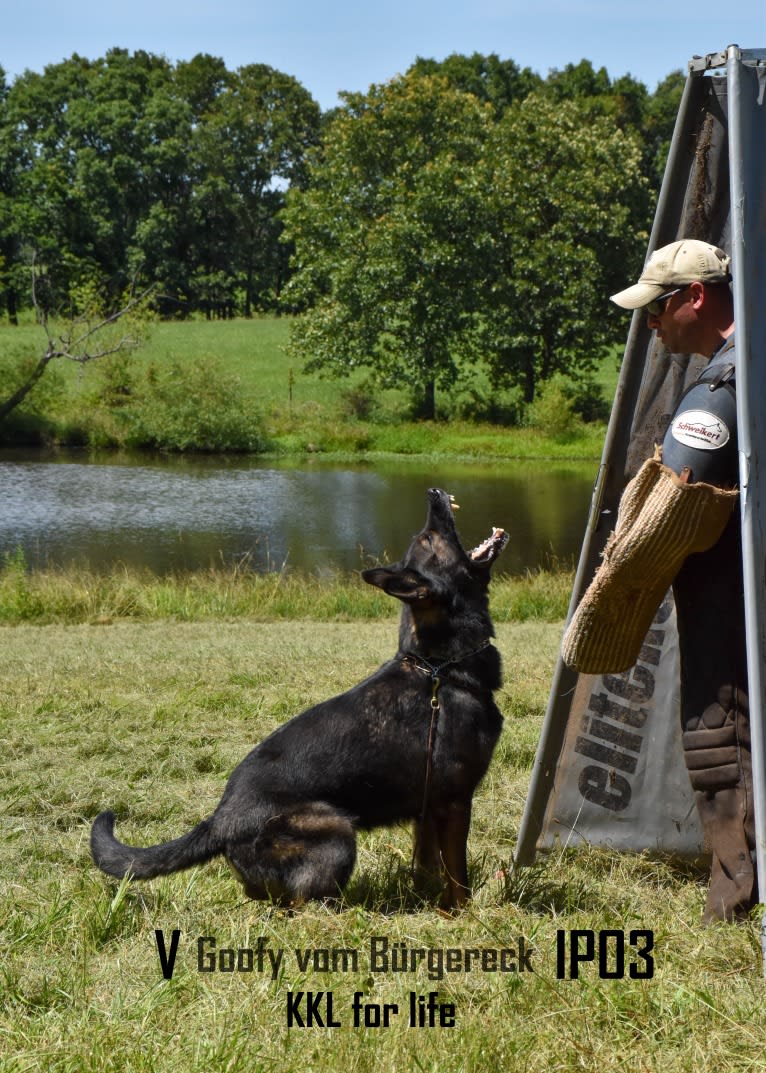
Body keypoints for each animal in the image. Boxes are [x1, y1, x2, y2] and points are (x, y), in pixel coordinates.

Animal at [89, 491, 506, 909]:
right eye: (429, 539)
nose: (433, 494)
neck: (441, 668)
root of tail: (219, 822)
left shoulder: (427, 809)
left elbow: (427, 866)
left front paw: (430, 903)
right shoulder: (454, 802)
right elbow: (457, 875)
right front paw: (464, 913)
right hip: (337, 831)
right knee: (302, 902)